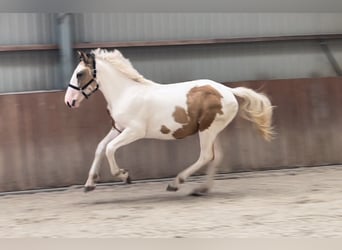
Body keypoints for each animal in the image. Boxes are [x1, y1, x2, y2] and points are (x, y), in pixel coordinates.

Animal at [63, 48, 272, 195]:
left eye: (79, 73)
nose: (69, 101)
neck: (126, 93)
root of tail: (228, 91)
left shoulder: (134, 131)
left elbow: (110, 148)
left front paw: (124, 175)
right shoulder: (119, 128)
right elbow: (100, 147)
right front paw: (89, 184)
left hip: (208, 130)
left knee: (206, 156)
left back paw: (175, 183)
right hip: (212, 130)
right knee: (216, 156)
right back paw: (201, 189)